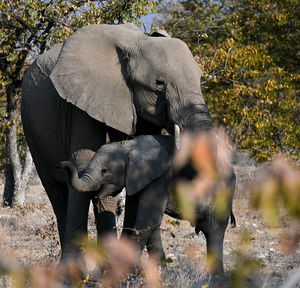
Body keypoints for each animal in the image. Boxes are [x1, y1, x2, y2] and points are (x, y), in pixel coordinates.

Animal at [21, 23, 212, 260]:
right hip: (31, 126)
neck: (136, 44)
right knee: (57, 193)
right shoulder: (81, 102)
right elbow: (83, 162)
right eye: (159, 83)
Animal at [58, 135, 234, 274]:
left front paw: (130, 274)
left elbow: (147, 220)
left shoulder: (161, 178)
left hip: (222, 193)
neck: (129, 146)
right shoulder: (137, 180)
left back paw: (215, 278)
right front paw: (161, 273)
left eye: (104, 171)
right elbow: (150, 223)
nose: (60, 165)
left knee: (215, 231)